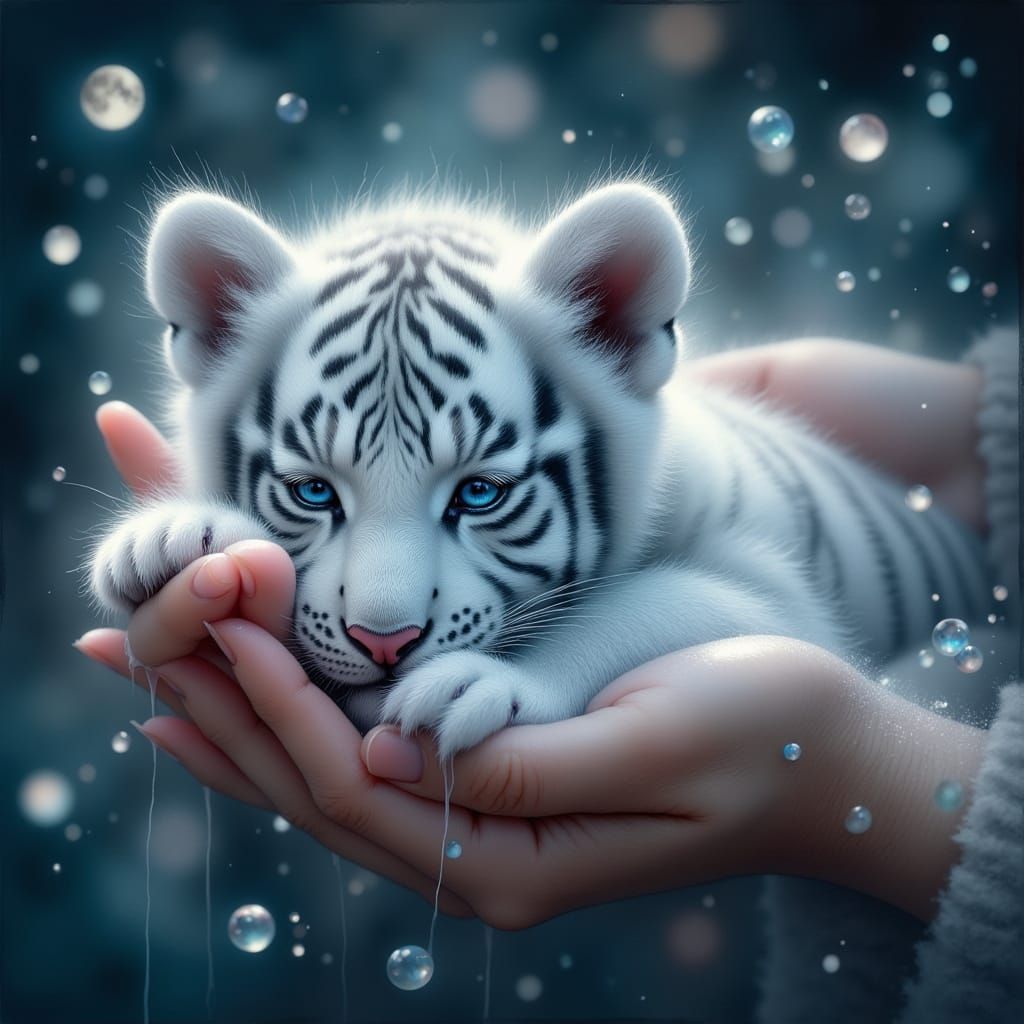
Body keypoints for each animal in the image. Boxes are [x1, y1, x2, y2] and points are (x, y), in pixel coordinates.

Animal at [88, 181, 990, 757]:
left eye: (479, 493)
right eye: (313, 491)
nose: (385, 644)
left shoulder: (787, 604)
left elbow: (654, 601)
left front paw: (483, 682)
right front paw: (172, 537)